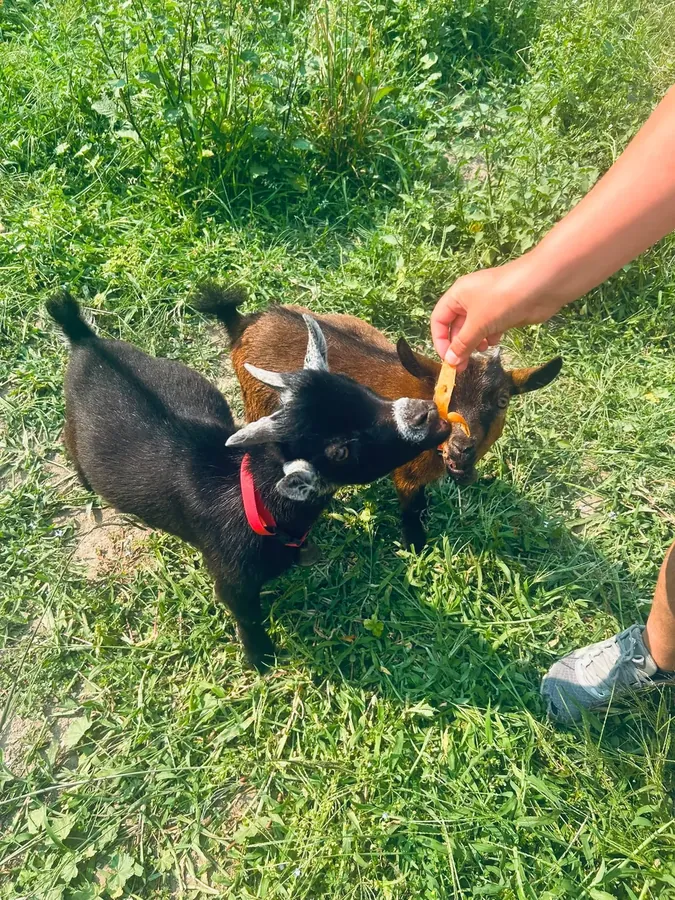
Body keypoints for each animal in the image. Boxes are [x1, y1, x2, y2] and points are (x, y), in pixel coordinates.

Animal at [47, 293, 450, 669]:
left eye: (356, 387)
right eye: (339, 450)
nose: (428, 416)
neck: (251, 498)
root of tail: (85, 342)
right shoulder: (232, 581)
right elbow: (247, 616)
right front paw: (261, 660)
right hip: (73, 429)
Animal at [195, 284, 562, 550]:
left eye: (502, 400)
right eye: (443, 395)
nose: (461, 448)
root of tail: (243, 323)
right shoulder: (406, 475)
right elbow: (412, 507)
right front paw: (416, 545)